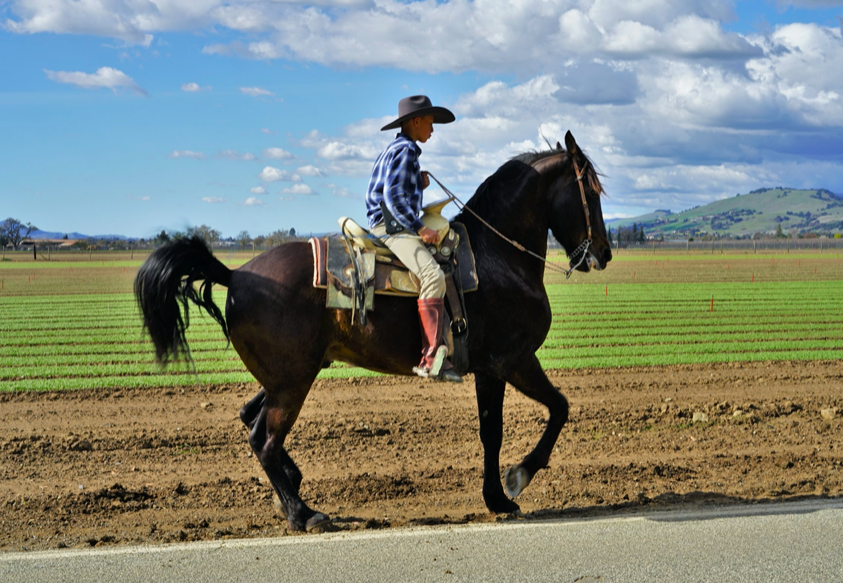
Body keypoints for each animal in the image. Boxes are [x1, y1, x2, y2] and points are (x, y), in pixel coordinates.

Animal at [134, 130, 612, 532]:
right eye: (591, 191)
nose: (604, 254)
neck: (498, 256)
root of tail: (235, 275)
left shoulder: (499, 367)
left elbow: (532, 416)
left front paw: (504, 489)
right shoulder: (508, 363)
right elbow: (535, 416)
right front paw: (511, 485)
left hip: (287, 376)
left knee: (249, 417)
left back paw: (292, 488)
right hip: (292, 382)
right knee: (263, 438)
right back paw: (303, 513)